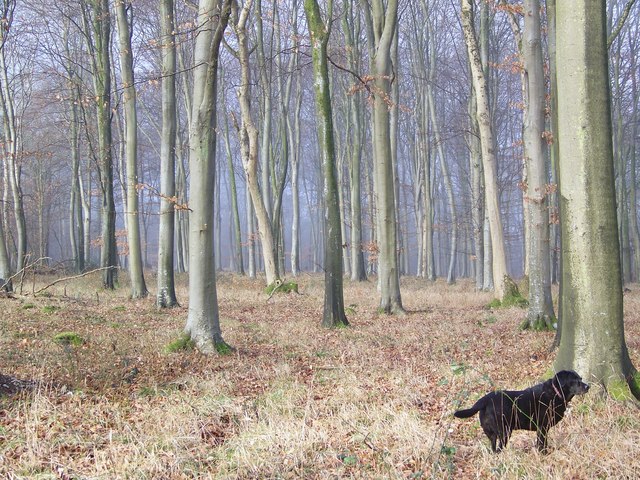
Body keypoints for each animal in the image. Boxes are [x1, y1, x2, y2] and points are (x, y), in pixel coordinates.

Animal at [456, 372, 592, 454]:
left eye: (580, 378)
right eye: (575, 380)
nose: (588, 386)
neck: (555, 393)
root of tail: (484, 400)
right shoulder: (542, 427)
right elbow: (542, 443)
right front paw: (544, 454)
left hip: (491, 434)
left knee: (494, 449)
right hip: (505, 431)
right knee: (500, 448)